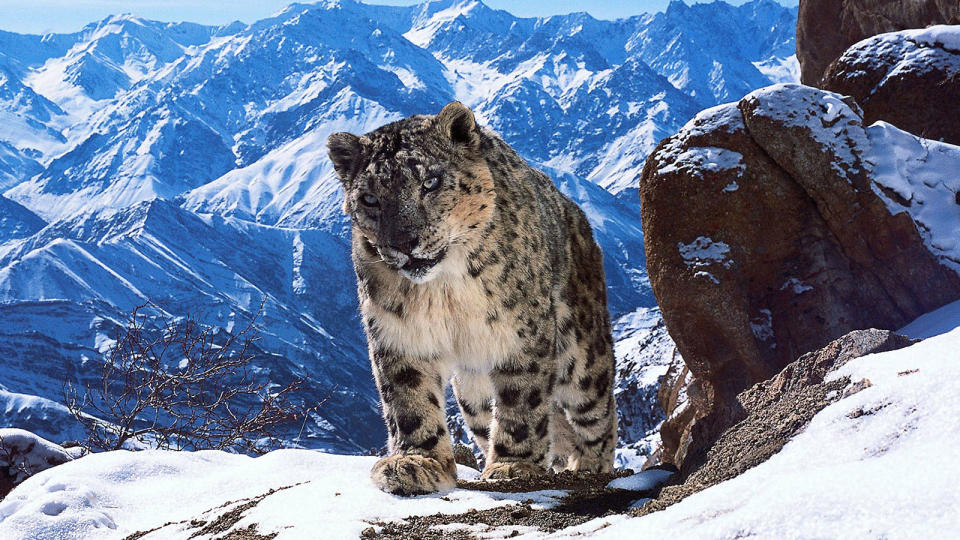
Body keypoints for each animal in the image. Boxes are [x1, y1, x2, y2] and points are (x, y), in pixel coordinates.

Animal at [328, 103, 616, 496]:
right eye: (369, 199)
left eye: (430, 182)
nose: (404, 242)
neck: (444, 290)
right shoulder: (398, 335)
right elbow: (409, 400)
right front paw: (417, 462)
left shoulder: (520, 334)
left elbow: (522, 399)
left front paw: (512, 466)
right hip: (473, 397)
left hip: (583, 355)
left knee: (597, 415)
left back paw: (589, 467)